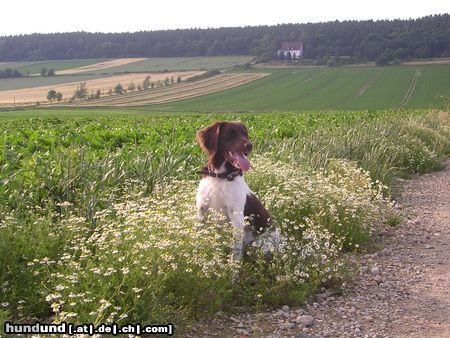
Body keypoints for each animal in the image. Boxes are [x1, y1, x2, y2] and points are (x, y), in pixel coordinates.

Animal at [194, 121, 270, 262]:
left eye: (245, 134)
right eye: (231, 134)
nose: (249, 145)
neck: (221, 177)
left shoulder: (237, 219)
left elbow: (235, 254)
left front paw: (234, 268)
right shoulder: (201, 210)